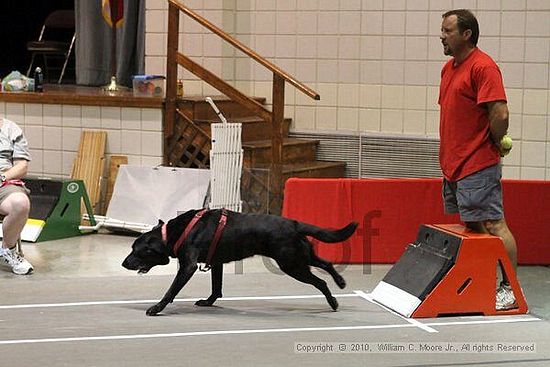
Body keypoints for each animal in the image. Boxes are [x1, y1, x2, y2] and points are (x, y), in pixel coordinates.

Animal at [123, 210, 360, 316]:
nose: (123, 264)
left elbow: (171, 290)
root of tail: (294, 223)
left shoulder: (188, 266)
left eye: (137, 251)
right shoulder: (216, 263)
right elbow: (216, 287)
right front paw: (209, 302)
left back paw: (333, 302)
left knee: (321, 282)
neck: (174, 232)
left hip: (291, 264)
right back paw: (341, 282)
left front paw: (156, 307)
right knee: (327, 264)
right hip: (301, 257)